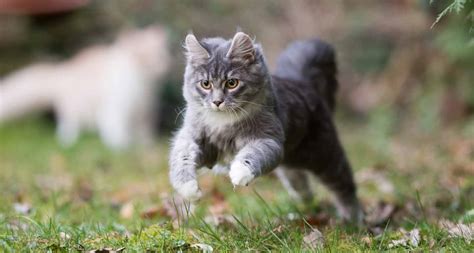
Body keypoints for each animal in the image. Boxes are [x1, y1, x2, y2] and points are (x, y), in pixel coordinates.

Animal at [0, 25, 170, 149]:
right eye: (143, 57)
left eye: (161, 56)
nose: (161, 67)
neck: (144, 85)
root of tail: (64, 69)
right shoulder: (115, 108)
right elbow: (117, 129)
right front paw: (122, 146)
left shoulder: (145, 111)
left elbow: (144, 132)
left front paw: (145, 145)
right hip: (72, 109)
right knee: (67, 125)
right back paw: (68, 140)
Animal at [168, 32, 362, 223]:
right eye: (205, 84)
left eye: (232, 83)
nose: (217, 102)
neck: (222, 122)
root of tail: (301, 81)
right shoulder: (196, 140)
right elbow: (181, 159)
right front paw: (190, 190)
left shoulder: (268, 139)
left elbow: (251, 154)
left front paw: (239, 173)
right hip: (290, 165)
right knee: (301, 184)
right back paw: (305, 207)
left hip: (323, 155)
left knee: (344, 184)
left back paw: (353, 220)